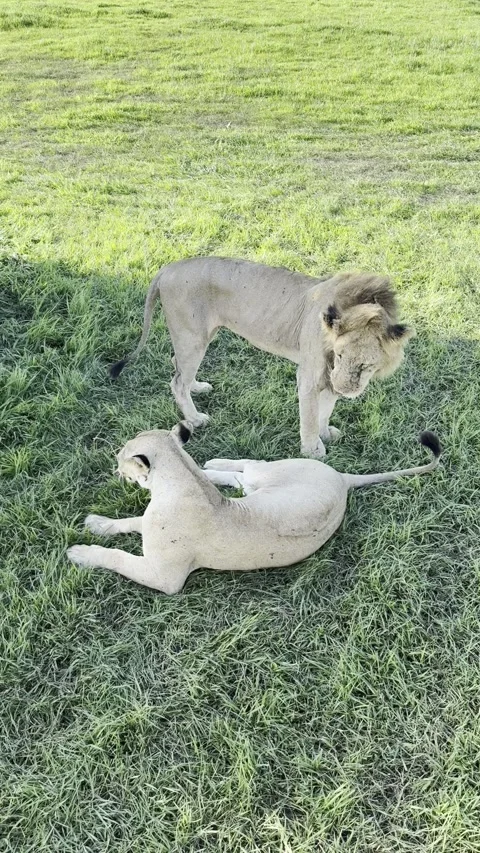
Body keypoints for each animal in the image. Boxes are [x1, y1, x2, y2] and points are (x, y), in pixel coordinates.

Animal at [67, 424, 441, 594]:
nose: (115, 466)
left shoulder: (165, 577)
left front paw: (81, 553)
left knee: (249, 468)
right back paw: (211, 465)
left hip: (269, 475)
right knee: (240, 476)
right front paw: (97, 523)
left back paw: (212, 465)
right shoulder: (148, 525)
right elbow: (128, 521)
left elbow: (117, 557)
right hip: (259, 488)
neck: (182, 477)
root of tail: (341, 478)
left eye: (121, 455)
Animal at [110, 258, 414, 457]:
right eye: (340, 354)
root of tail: (168, 268)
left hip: (198, 337)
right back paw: (195, 419)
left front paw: (326, 433)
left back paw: (197, 386)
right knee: (176, 382)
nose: (346, 390)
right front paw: (313, 451)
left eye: (367, 364)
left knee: (178, 369)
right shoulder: (310, 374)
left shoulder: (328, 375)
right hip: (191, 336)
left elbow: (325, 410)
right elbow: (310, 417)